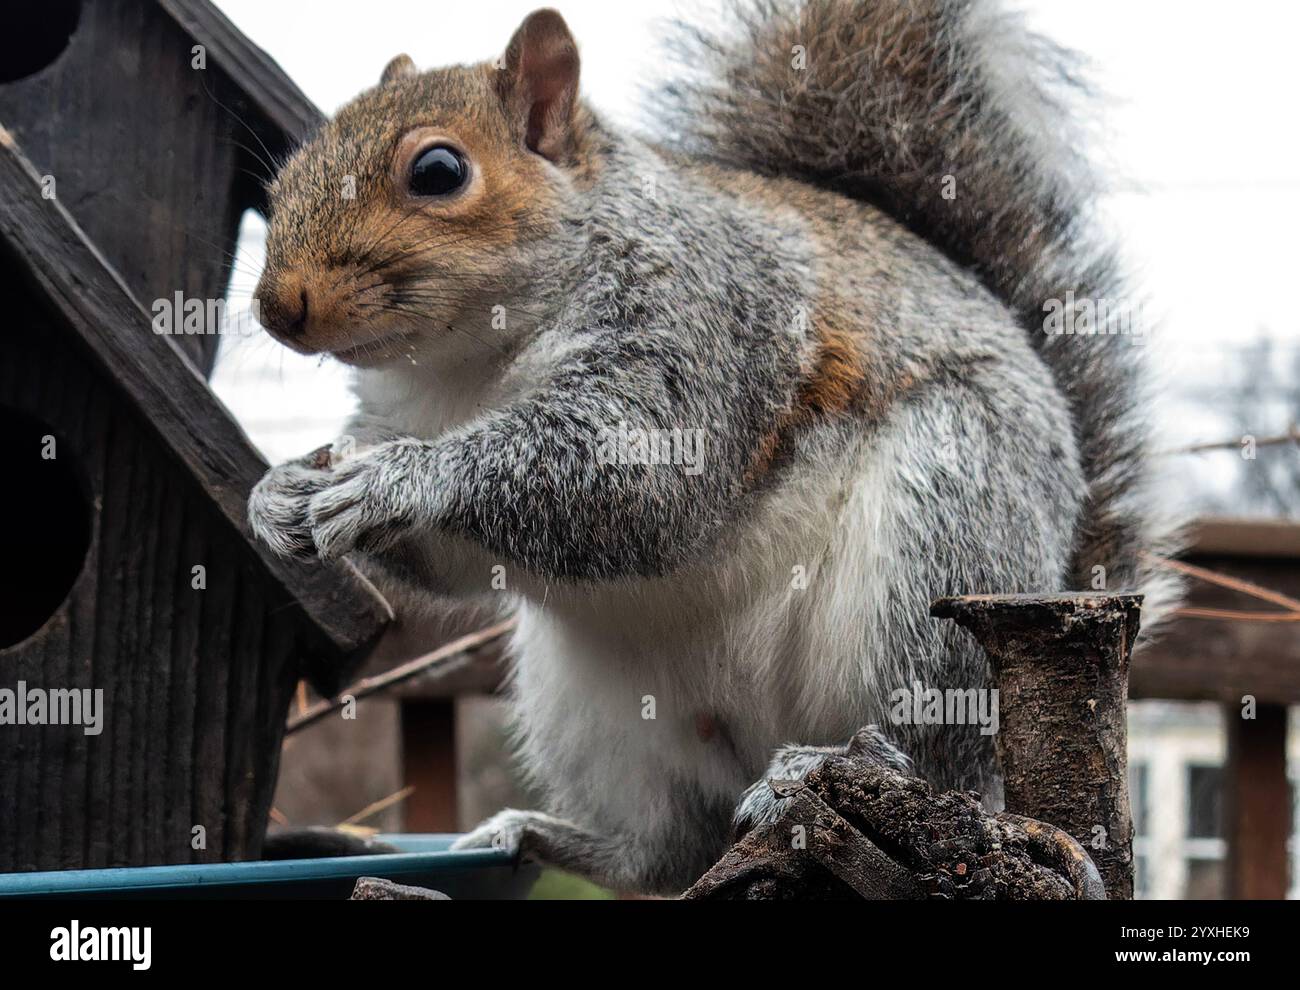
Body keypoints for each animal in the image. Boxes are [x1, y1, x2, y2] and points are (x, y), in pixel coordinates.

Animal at [248, 0, 1179, 894]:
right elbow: (457, 567)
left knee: (929, 751)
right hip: (590, 711)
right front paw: (277, 492)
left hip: (942, 534)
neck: (464, 368)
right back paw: (537, 834)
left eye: (438, 172)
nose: (276, 307)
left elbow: (637, 480)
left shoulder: (697, 327)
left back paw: (836, 760)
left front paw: (398, 478)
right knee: (665, 854)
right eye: (289, 173)